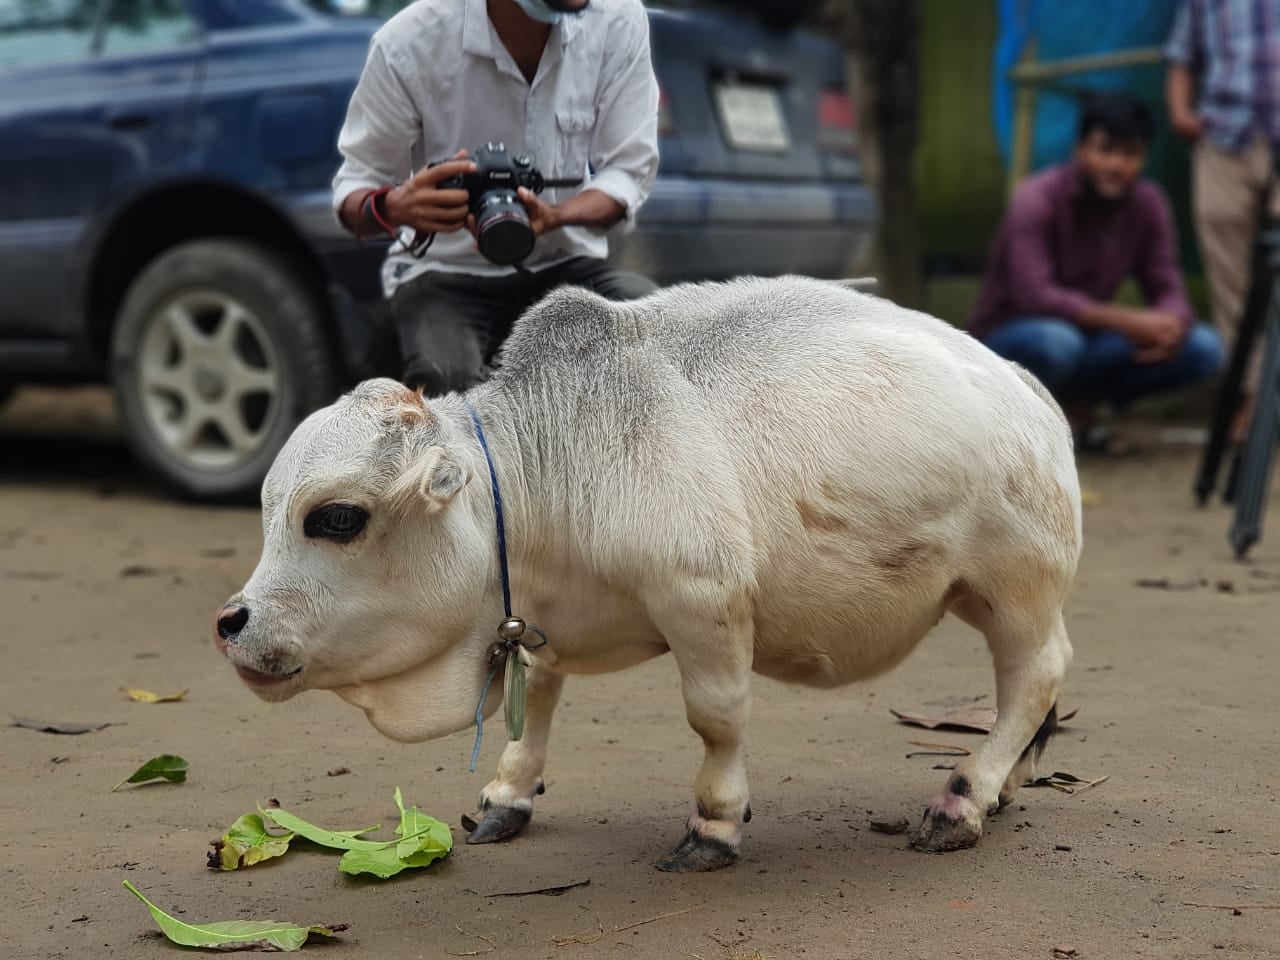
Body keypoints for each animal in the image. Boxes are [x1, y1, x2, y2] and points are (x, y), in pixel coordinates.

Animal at [217, 273, 1080, 875]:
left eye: (336, 518)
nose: (232, 623)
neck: (543, 473)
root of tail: (1024, 382)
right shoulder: (541, 619)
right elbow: (541, 699)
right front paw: (509, 793)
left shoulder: (702, 600)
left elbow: (717, 719)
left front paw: (714, 824)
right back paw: (1003, 785)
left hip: (1017, 584)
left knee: (1035, 675)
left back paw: (965, 798)